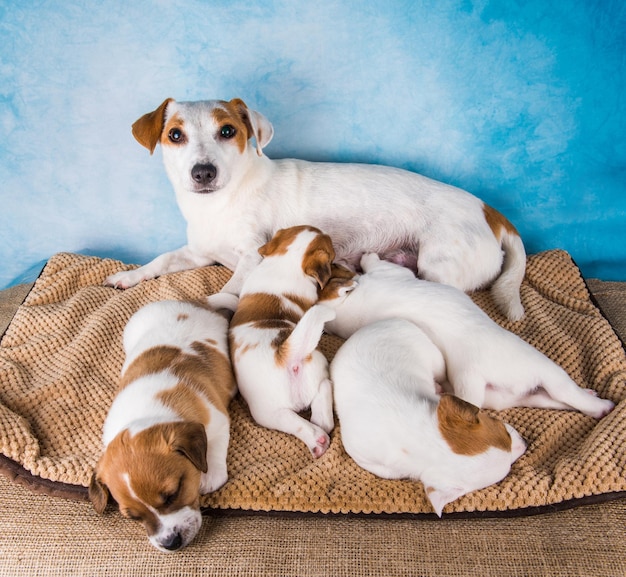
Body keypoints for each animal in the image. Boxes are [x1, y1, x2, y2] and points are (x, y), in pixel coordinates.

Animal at [91, 300, 238, 552]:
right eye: (133, 517)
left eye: (172, 494)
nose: (170, 543)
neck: (148, 412)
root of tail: (186, 303)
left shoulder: (218, 420)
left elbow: (215, 449)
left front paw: (209, 476)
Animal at [107, 95, 528, 320]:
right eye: (175, 135)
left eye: (228, 131)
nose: (203, 172)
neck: (220, 203)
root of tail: (490, 211)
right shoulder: (198, 253)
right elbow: (162, 260)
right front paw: (129, 276)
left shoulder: (252, 256)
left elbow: (230, 287)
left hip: (437, 266)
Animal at [228, 224, 336, 454]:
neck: (287, 261)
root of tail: (286, 355)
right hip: (274, 408)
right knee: (320, 405)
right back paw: (318, 439)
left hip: (269, 412)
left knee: (313, 417)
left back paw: (317, 439)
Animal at [320, 253, 612, 418]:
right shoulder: (390, 273)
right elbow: (375, 263)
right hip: (542, 369)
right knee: (565, 391)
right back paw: (601, 405)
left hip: (518, 395)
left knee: (556, 399)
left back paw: (594, 402)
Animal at [332, 318, 528, 516]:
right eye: (502, 428)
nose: (526, 442)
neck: (422, 438)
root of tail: (375, 325)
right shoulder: (364, 456)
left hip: (435, 359)